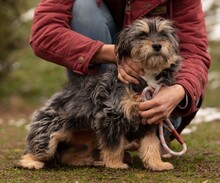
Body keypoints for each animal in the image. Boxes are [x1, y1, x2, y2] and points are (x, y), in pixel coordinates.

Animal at [18, 17, 180, 171]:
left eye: (163, 34)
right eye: (142, 35)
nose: (157, 46)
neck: (146, 76)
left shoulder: (151, 119)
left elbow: (151, 145)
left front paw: (157, 164)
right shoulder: (111, 116)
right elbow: (114, 146)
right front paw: (115, 164)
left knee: (66, 156)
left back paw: (87, 160)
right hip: (50, 133)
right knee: (33, 151)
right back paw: (31, 163)